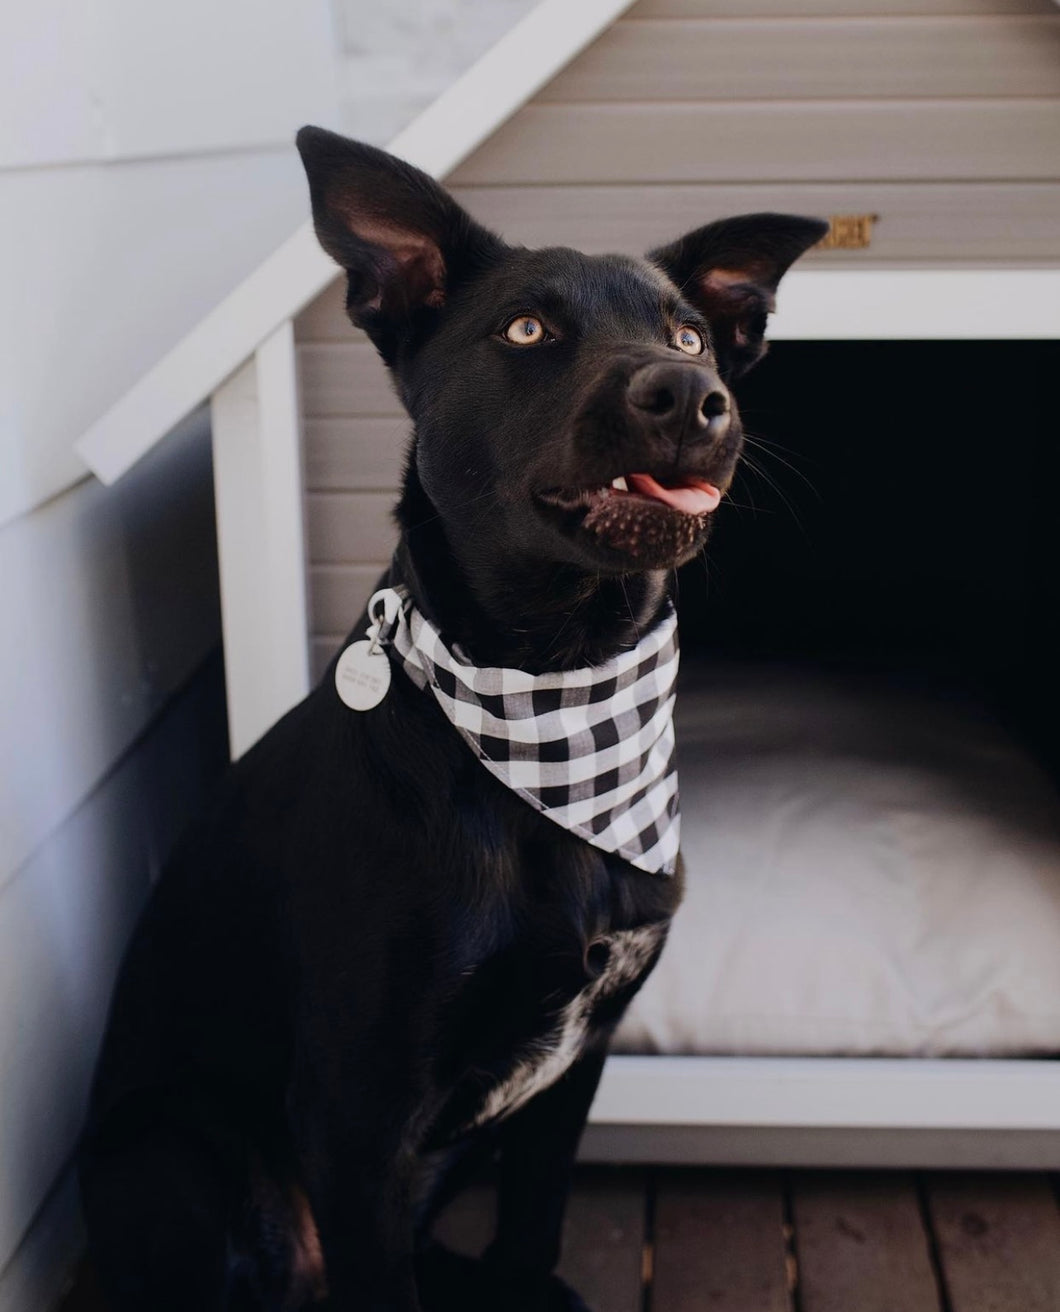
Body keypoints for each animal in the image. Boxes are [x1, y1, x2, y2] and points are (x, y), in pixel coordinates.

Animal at [80, 125, 829, 1312]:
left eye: (689, 333)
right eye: (526, 329)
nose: (690, 392)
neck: (556, 689)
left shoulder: (576, 1065)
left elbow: (535, 1219)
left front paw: (526, 1281)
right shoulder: (356, 1117)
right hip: (184, 1158)